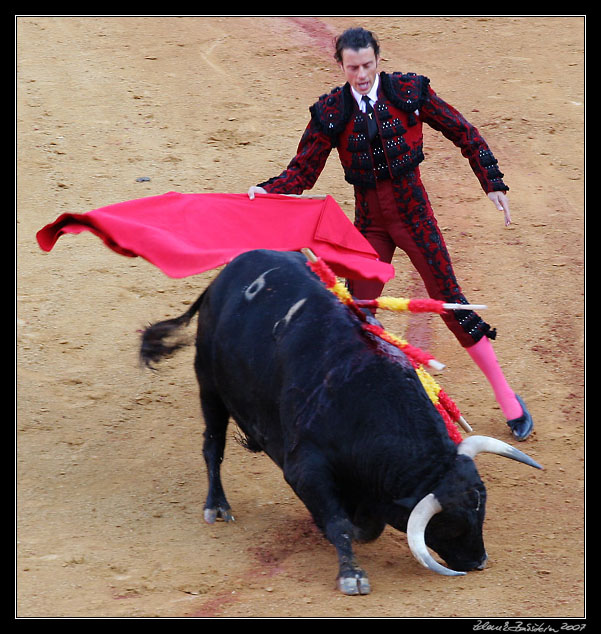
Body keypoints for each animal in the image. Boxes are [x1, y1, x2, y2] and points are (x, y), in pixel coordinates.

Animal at [139, 247, 540, 592]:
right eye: (450, 525)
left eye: (482, 511)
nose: (479, 561)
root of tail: (222, 277)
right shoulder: (305, 468)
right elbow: (337, 522)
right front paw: (352, 575)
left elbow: (363, 522)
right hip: (209, 384)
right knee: (213, 445)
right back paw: (217, 506)